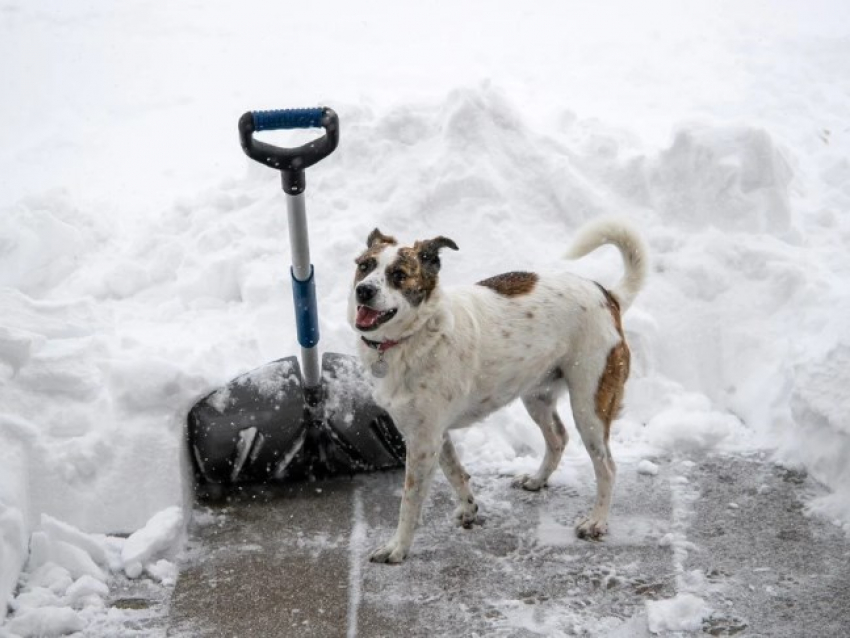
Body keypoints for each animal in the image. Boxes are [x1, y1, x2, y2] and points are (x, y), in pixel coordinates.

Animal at [348, 219, 644, 564]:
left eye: (398, 274)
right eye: (364, 266)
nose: (364, 290)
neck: (416, 335)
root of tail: (608, 295)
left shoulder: (423, 441)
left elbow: (409, 502)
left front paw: (397, 547)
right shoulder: (432, 433)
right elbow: (454, 470)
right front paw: (468, 508)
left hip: (590, 404)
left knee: (607, 466)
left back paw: (596, 521)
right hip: (536, 395)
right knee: (558, 438)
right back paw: (538, 480)